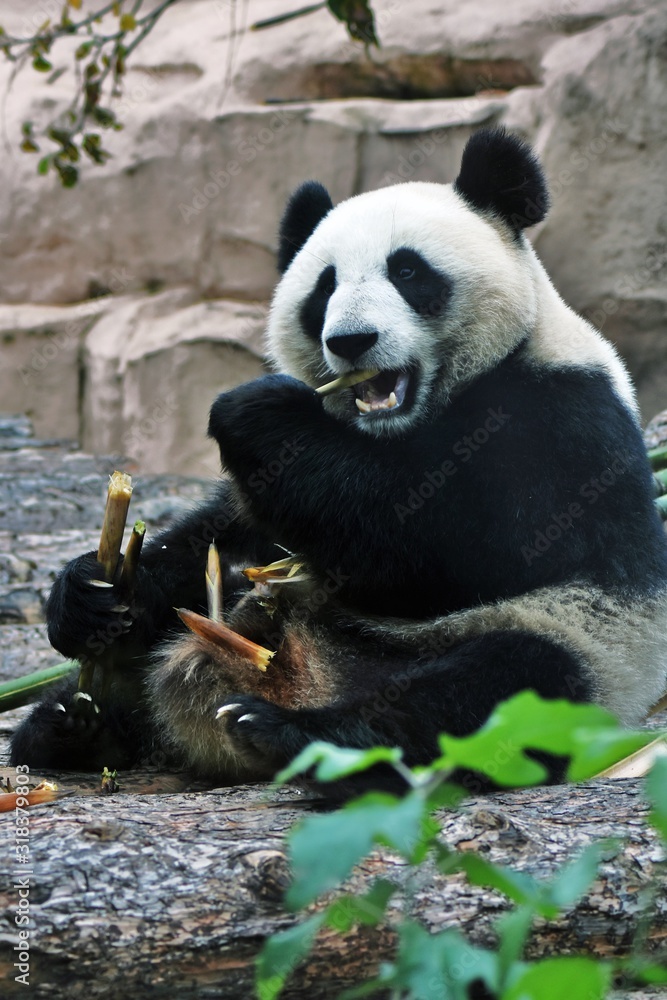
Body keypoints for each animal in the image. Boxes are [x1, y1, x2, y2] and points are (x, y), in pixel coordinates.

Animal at [10, 127, 667, 792]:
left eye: (407, 270)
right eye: (324, 287)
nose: (352, 341)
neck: (407, 422)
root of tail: (304, 675)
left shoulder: (559, 418)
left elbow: (458, 548)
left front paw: (261, 413)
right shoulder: (279, 497)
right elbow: (227, 537)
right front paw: (91, 592)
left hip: (587, 652)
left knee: (495, 692)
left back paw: (300, 738)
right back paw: (74, 724)